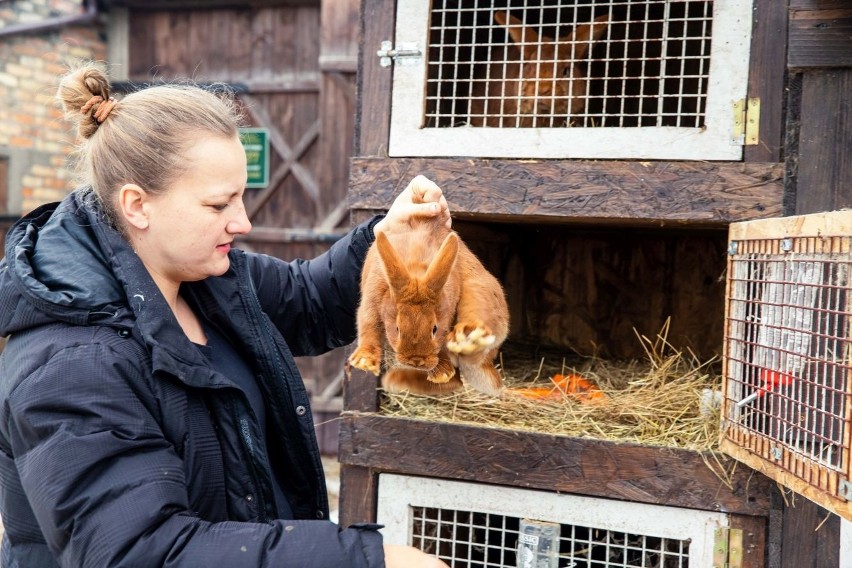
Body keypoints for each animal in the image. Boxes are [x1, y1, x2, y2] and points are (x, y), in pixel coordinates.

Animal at [346, 186, 506, 394]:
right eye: (397, 328)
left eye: (434, 329)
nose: (416, 361)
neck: (416, 269)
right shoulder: (372, 297)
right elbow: (369, 324)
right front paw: (364, 361)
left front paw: (442, 370)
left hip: (481, 289)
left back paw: (467, 340)